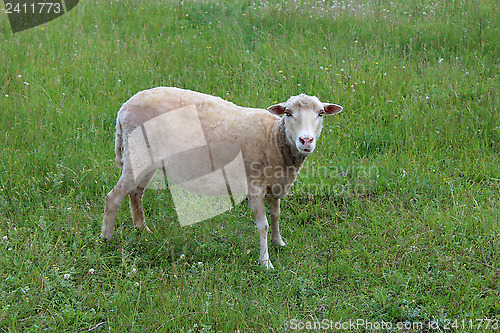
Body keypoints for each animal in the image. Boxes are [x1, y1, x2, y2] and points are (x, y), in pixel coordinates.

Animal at [101, 87, 344, 268]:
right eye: (288, 113)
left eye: (320, 113)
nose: (306, 140)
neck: (274, 138)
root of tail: (124, 108)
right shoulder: (255, 185)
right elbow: (263, 225)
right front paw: (265, 262)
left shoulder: (275, 185)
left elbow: (276, 216)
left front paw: (279, 243)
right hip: (137, 155)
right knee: (113, 197)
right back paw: (107, 238)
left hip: (146, 159)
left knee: (136, 192)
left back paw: (142, 230)